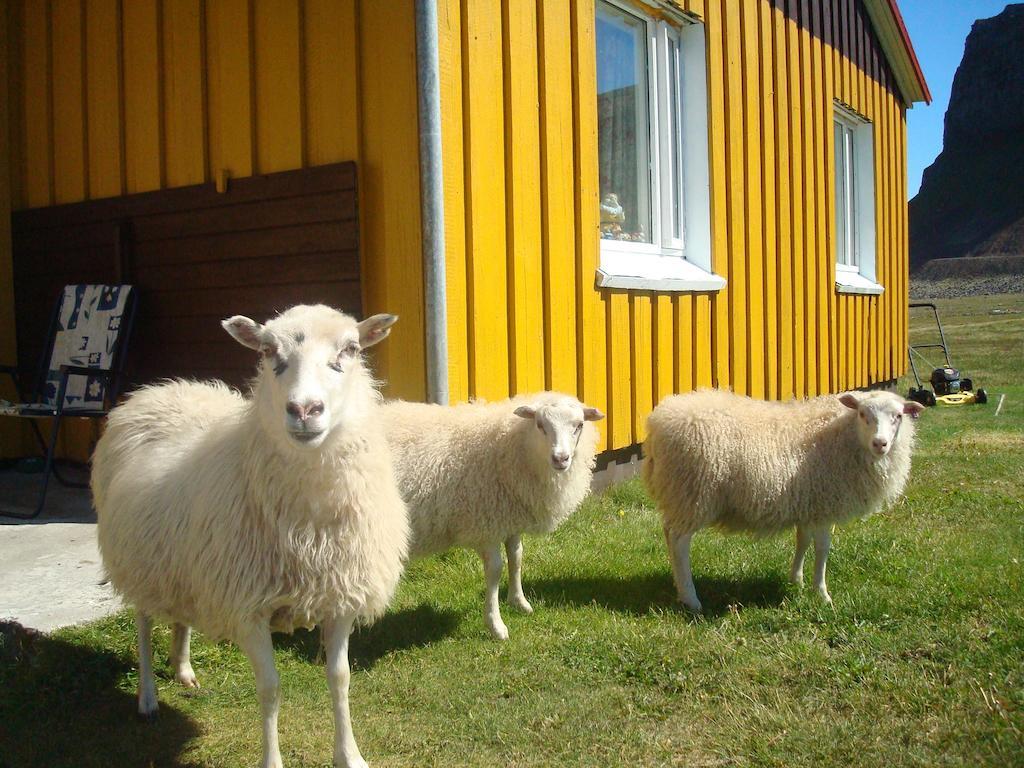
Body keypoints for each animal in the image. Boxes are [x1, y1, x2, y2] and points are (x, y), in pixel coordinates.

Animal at [89, 305, 407, 768]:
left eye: (350, 348)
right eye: (268, 351)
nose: (304, 409)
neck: (308, 531)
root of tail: (160, 390)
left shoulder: (341, 597)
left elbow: (340, 677)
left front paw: (350, 755)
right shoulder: (248, 608)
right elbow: (270, 689)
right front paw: (272, 760)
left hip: (182, 563)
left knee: (180, 614)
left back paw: (183, 669)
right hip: (139, 561)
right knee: (144, 623)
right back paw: (147, 696)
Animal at [380, 393, 602, 638]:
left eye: (579, 425)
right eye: (540, 424)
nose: (560, 459)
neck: (508, 446)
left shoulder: (509, 518)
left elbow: (517, 557)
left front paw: (519, 602)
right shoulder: (486, 523)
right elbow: (495, 570)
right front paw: (496, 625)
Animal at [643, 391, 925, 614]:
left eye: (898, 416)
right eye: (863, 414)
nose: (880, 443)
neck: (843, 435)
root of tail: (658, 422)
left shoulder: (808, 503)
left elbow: (803, 541)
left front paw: (796, 580)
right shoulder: (824, 504)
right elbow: (822, 549)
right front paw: (822, 594)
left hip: (681, 496)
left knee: (669, 534)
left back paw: (679, 587)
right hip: (693, 493)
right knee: (680, 542)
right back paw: (691, 599)